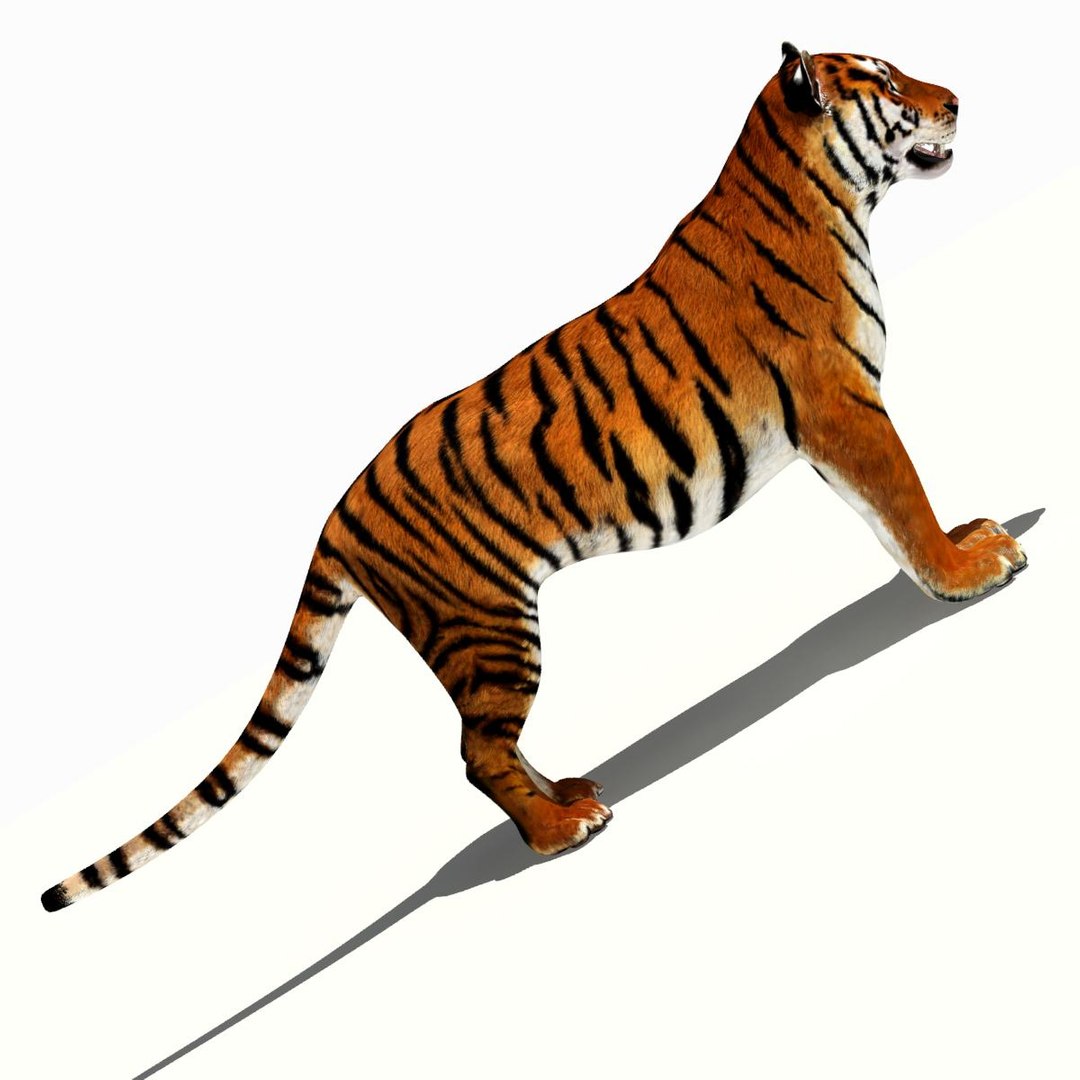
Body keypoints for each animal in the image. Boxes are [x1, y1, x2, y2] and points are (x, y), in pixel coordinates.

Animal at [41, 43, 1027, 912]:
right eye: (888, 83)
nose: (957, 100)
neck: (829, 193)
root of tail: (335, 514)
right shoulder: (845, 407)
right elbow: (906, 498)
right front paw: (973, 568)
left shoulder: (834, 430)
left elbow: (888, 518)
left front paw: (959, 553)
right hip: (488, 628)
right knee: (478, 754)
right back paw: (561, 831)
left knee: (496, 751)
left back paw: (569, 792)